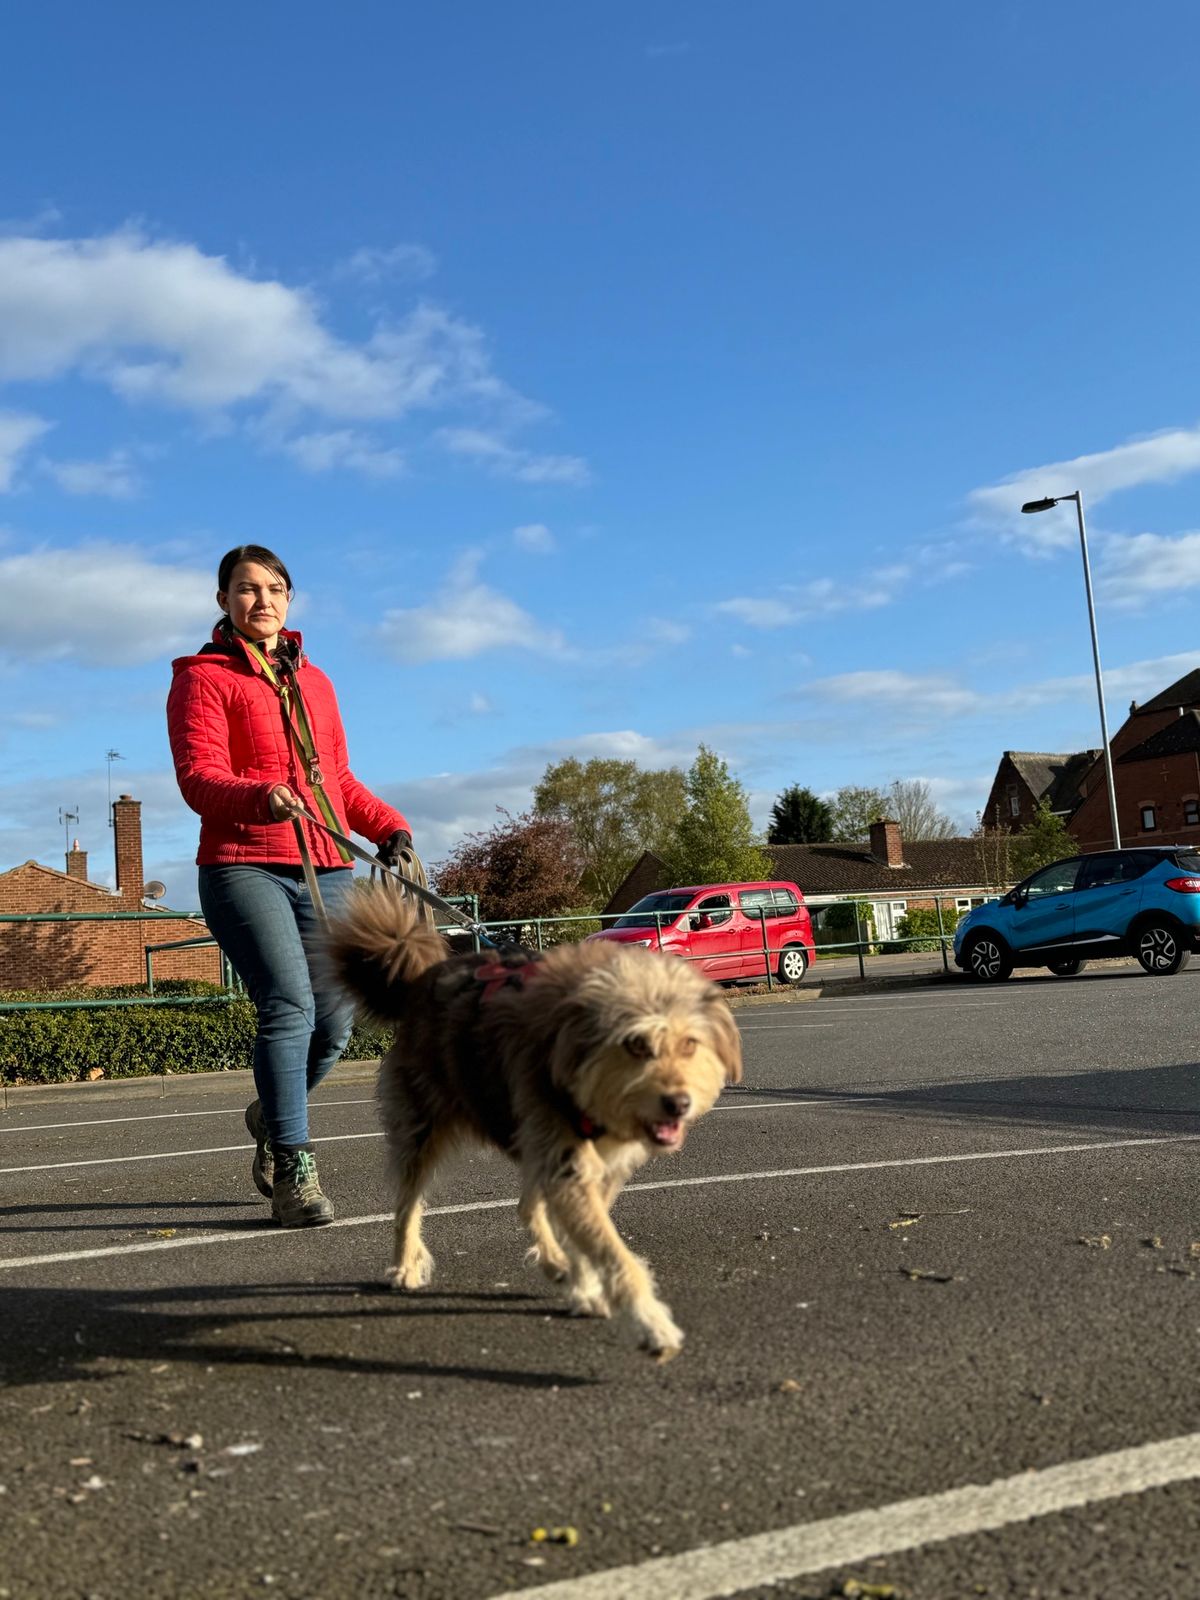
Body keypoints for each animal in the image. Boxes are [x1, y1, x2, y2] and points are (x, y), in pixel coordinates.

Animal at [324, 889, 748, 1363]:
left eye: (690, 1043)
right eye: (636, 1044)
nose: (679, 1104)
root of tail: (419, 982)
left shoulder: (590, 1167)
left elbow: (586, 1238)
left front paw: (585, 1288)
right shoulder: (567, 1163)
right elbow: (613, 1254)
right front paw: (650, 1322)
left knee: (527, 1204)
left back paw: (556, 1265)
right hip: (422, 1130)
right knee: (407, 1205)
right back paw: (404, 1265)